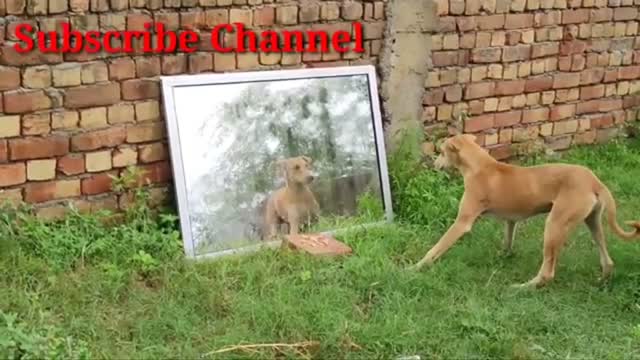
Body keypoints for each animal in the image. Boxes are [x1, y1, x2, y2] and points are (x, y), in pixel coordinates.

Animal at [410, 134, 640, 288]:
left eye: (441, 152)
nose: (434, 164)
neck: (481, 166)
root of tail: (594, 181)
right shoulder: (511, 221)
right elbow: (508, 241)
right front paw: (503, 256)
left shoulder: (462, 223)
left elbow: (435, 248)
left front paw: (415, 268)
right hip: (593, 222)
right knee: (608, 261)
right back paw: (601, 281)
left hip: (555, 225)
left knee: (548, 273)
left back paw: (523, 287)